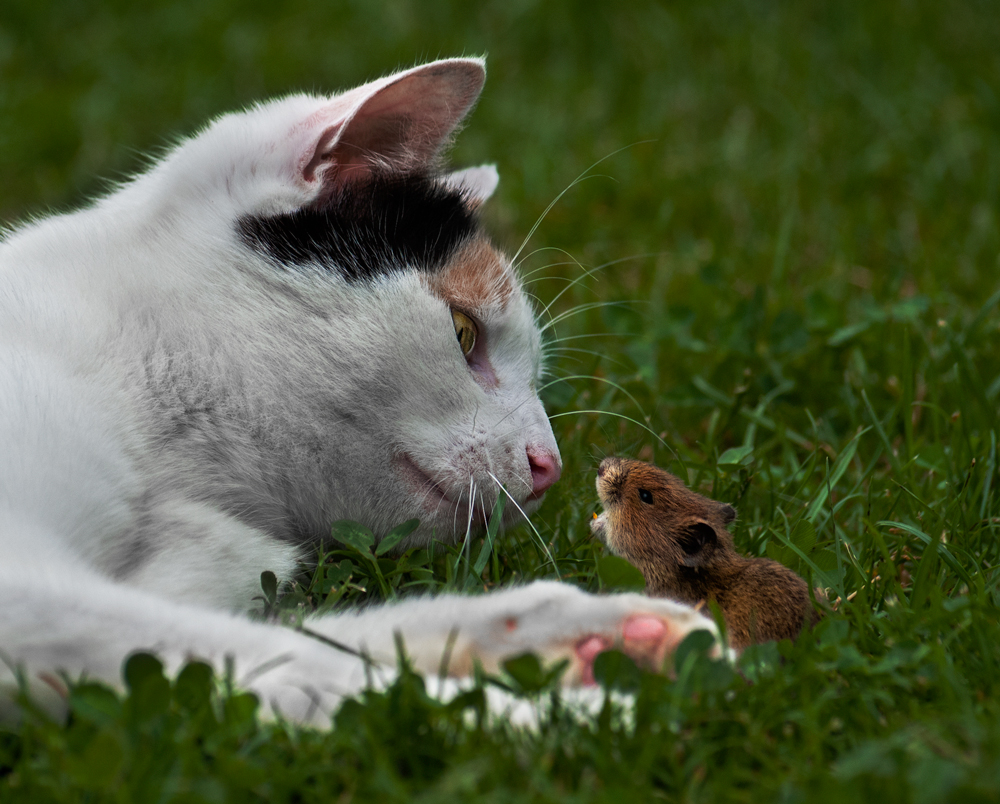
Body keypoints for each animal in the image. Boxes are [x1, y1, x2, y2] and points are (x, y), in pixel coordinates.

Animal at [1, 59, 720, 724]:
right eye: (464, 333)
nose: (551, 467)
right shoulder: (25, 592)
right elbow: (308, 670)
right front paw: (560, 717)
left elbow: (301, 645)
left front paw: (583, 637)